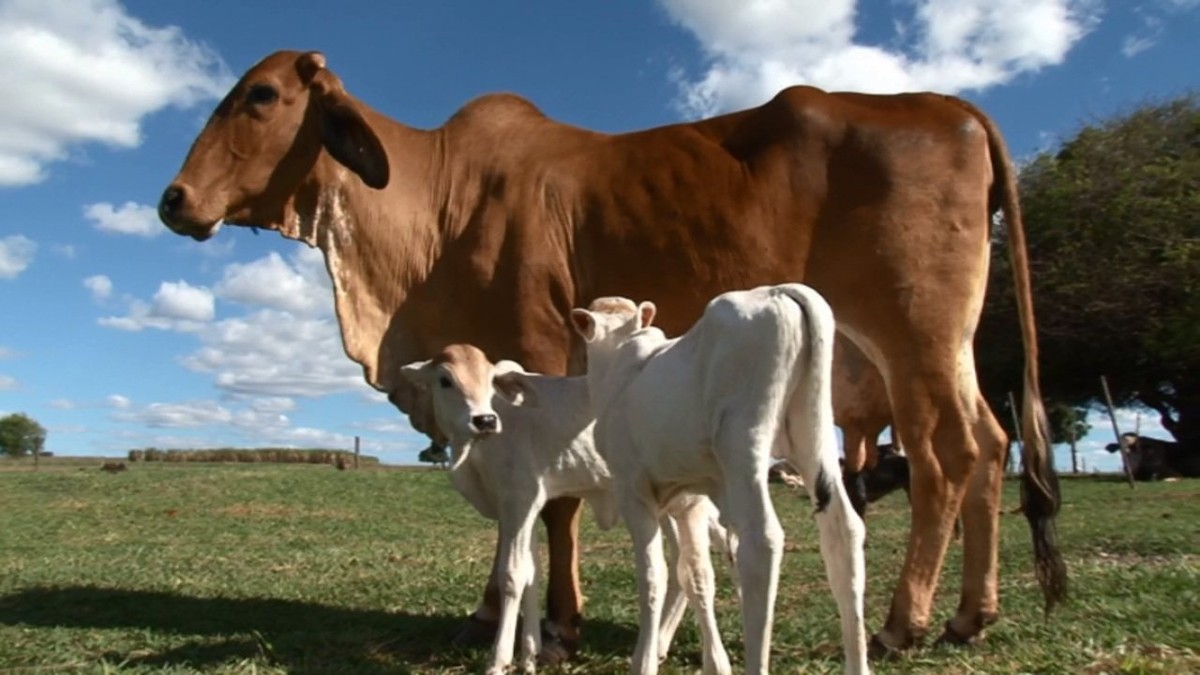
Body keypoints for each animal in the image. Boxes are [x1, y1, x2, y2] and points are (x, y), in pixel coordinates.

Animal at [403, 343, 734, 667]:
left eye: (490, 379)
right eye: (445, 380)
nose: (485, 420)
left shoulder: (519, 499)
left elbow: (512, 574)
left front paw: (499, 661)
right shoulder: (527, 508)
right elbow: (531, 574)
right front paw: (529, 658)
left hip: (690, 501)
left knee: (705, 565)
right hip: (667, 506)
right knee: (683, 570)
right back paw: (661, 646)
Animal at [571, 283, 873, 672]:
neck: (620, 367)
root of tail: (779, 290)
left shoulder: (633, 490)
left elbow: (654, 574)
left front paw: (644, 662)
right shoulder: (688, 498)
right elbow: (690, 570)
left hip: (743, 444)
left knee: (762, 541)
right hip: (814, 436)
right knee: (844, 530)